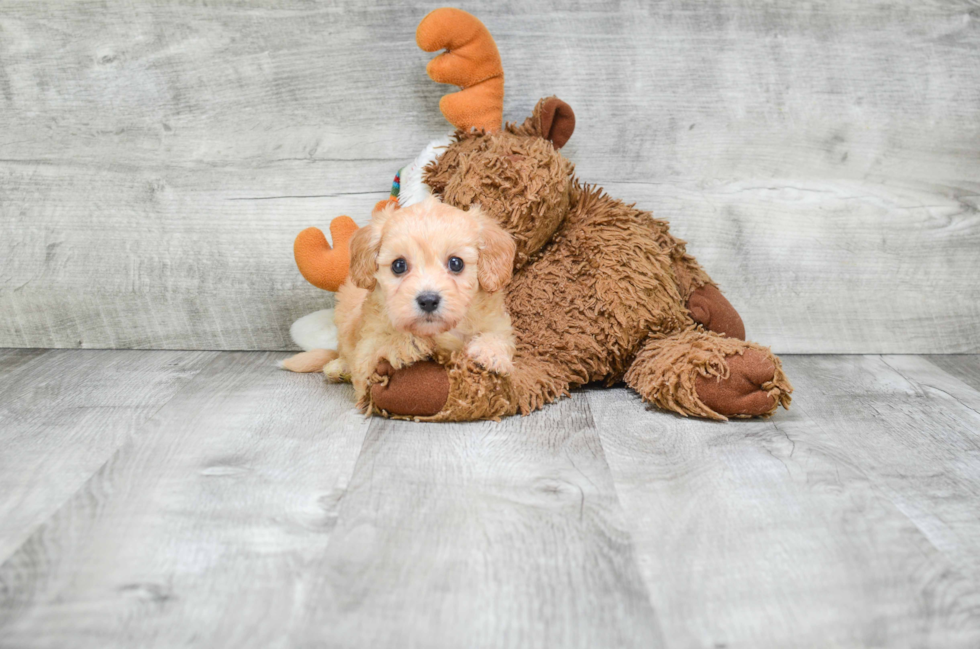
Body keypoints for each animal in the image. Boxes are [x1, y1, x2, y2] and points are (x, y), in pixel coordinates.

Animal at [326, 195, 516, 408]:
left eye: (456, 263)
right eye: (398, 265)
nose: (428, 301)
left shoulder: (496, 321)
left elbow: (499, 335)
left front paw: (490, 352)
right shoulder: (366, 351)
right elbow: (378, 347)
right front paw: (407, 342)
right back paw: (338, 368)